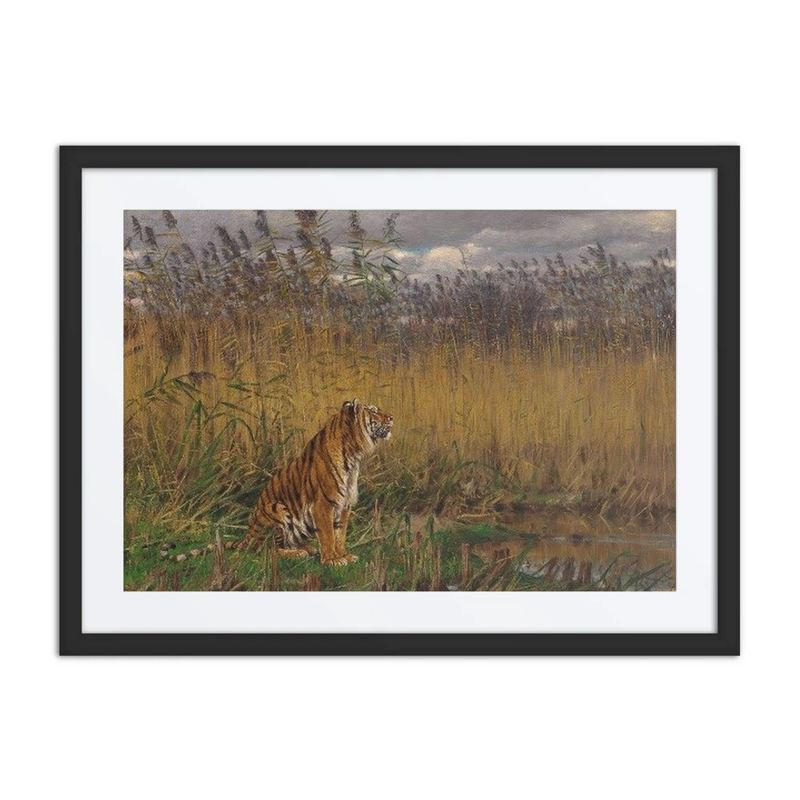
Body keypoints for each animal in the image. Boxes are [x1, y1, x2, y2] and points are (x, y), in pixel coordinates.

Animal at [162, 399, 393, 567]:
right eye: (373, 411)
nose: (392, 417)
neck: (353, 455)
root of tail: (247, 535)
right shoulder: (323, 504)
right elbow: (328, 535)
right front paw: (332, 560)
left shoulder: (344, 506)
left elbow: (340, 534)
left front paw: (344, 555)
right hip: (277, 509)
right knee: (267, 551)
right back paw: (298, 553)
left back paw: (308, 549)